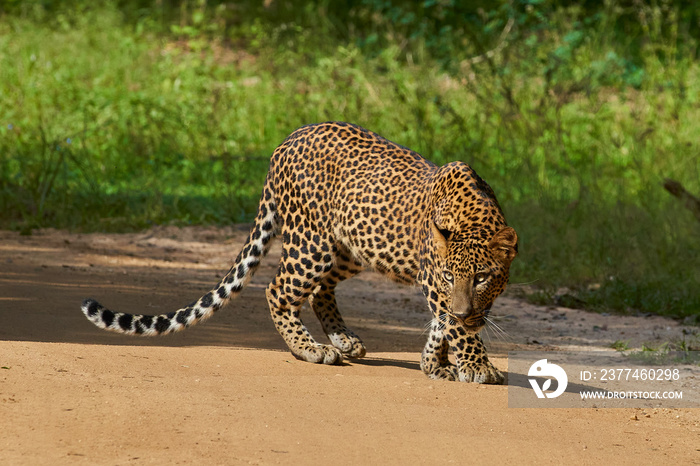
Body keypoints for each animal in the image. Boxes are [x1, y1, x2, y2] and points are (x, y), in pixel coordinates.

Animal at [83, 122, 520, 384]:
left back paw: (344, 341)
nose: (466, 310)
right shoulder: (432, 280)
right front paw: (477, 366)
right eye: (451, 276)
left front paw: (437, 364)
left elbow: (443, 323)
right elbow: (454, 326)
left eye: (483, 278)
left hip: (349, 248)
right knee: (277, 289)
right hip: (312, 243)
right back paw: (310, 348)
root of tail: (285, 142)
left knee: (320, 290)